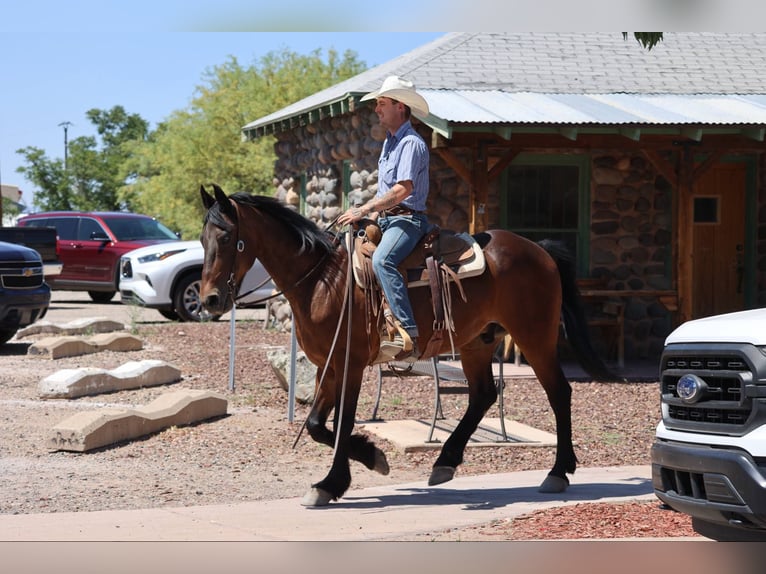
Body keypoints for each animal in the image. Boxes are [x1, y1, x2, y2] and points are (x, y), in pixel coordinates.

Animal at [199, 184, 616, 507]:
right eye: (203, 239)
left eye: (227, 237)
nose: (210, 300)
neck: (322, 281)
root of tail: (540, 250)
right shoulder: (326, 365)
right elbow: (317, 424)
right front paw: (370, 458)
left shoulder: (349, 364)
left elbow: (342, 422)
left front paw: (334, 482)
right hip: (476, 343)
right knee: (482, 395)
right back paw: (446, 461)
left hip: (535, 337)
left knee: (559, 393)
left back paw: (558, 472)